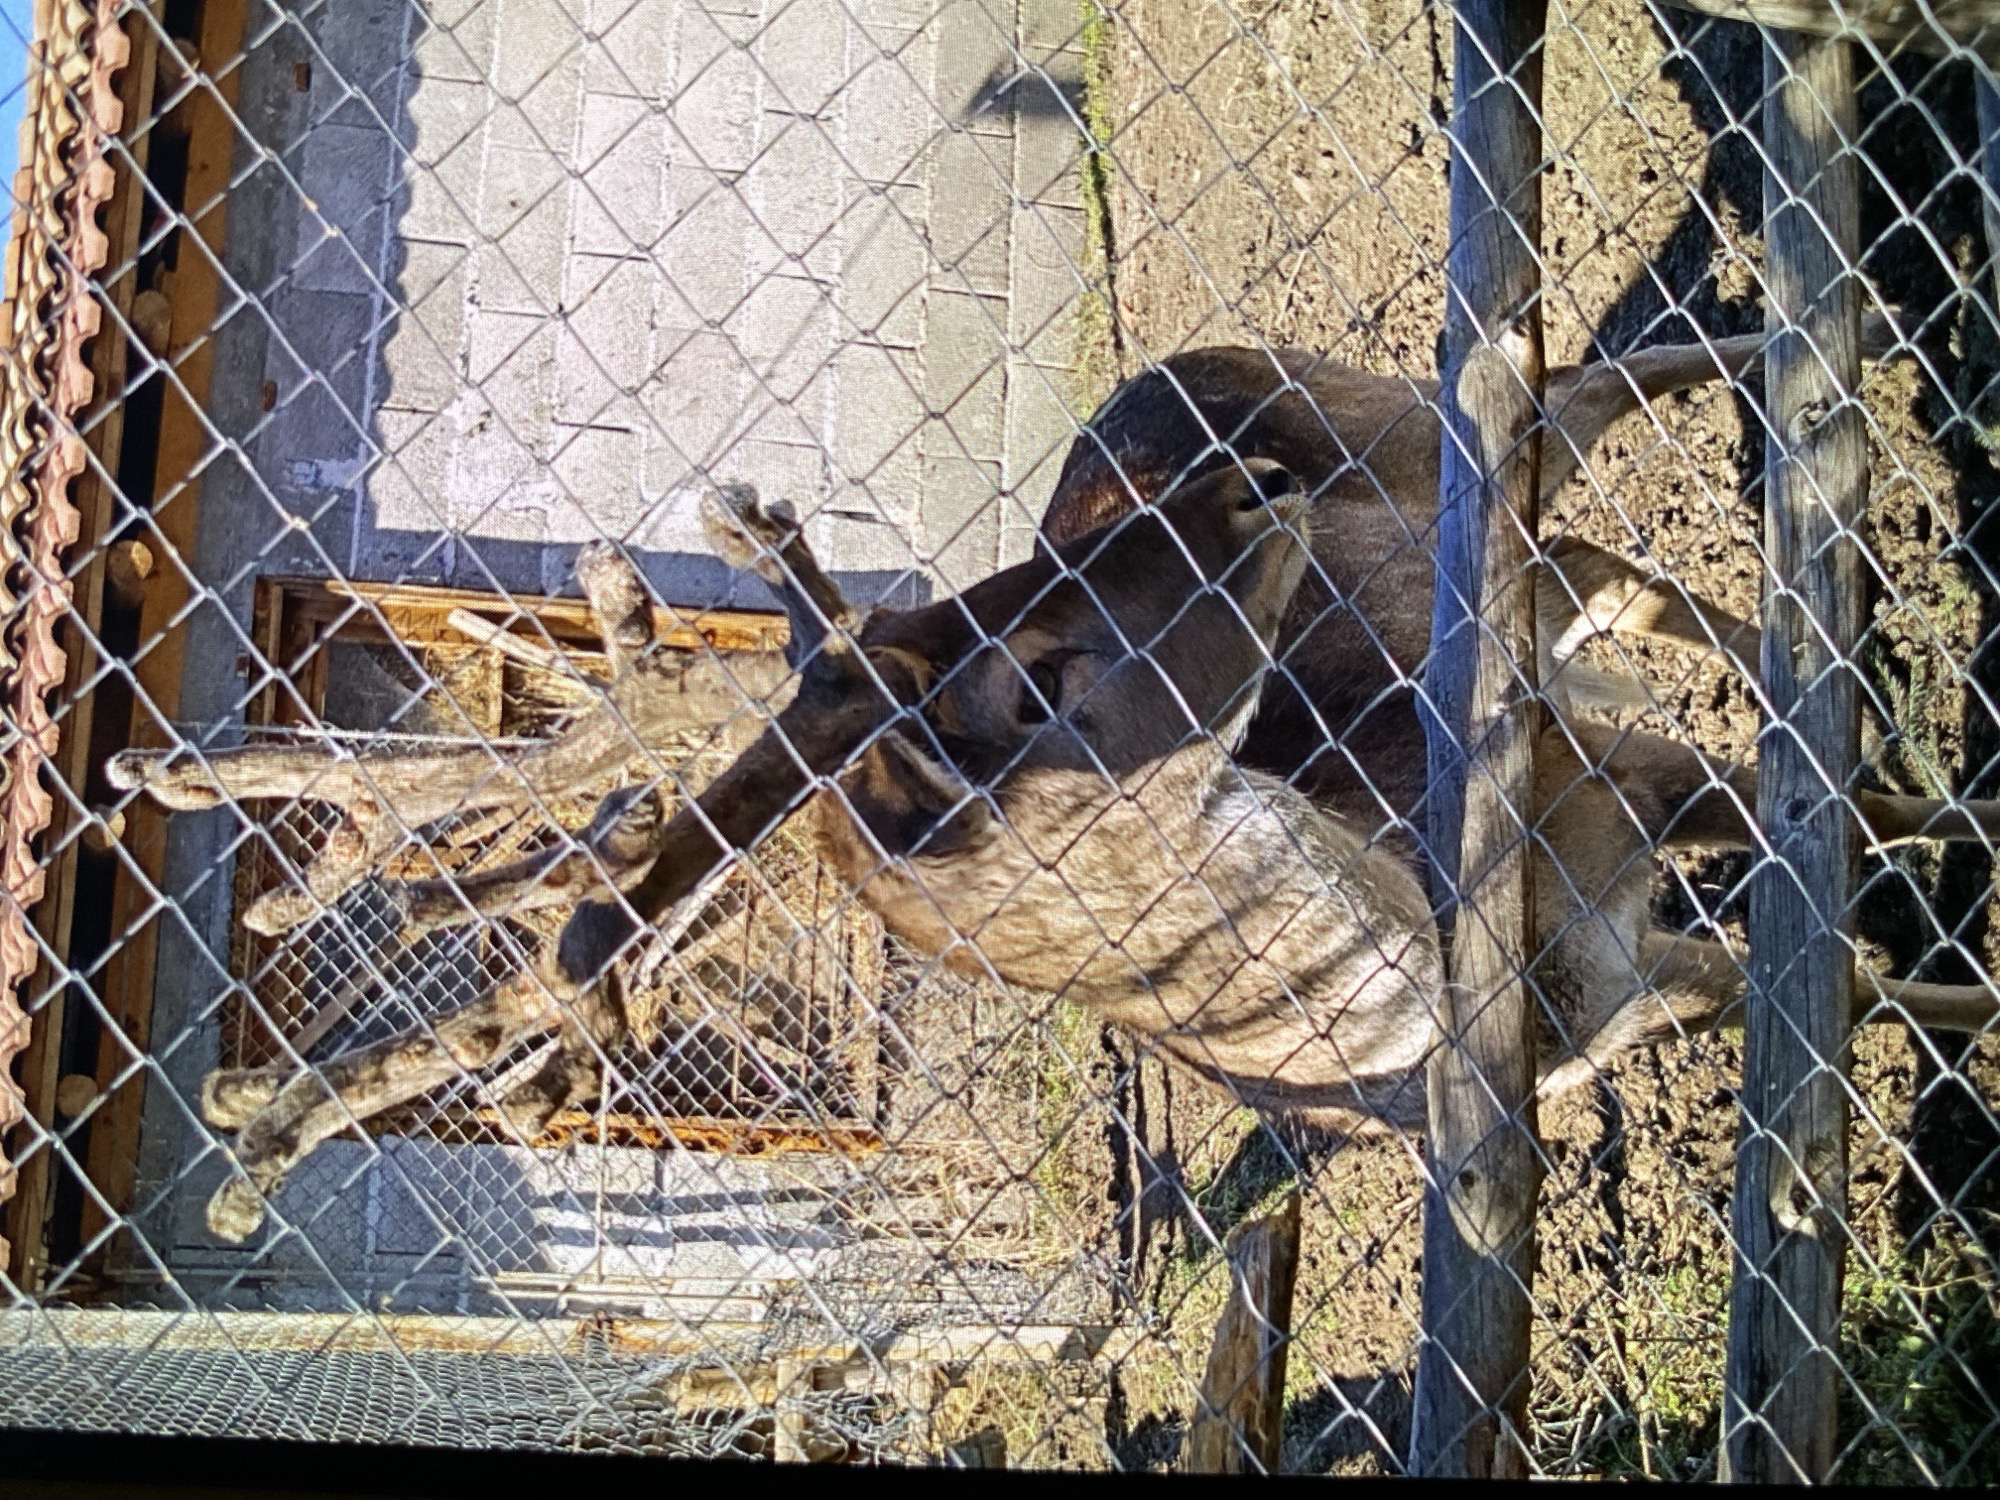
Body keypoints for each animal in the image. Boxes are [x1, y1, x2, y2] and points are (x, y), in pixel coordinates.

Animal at [108, 320, 2000, 1242]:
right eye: (1044, 676)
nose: (1235, 485)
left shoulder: (1615, 812)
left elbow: (1836, 853)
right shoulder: (1622, 936)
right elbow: (1859, 964)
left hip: (1456, 463)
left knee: (1611, 406)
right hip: (1536, 568)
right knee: (1650, 555)